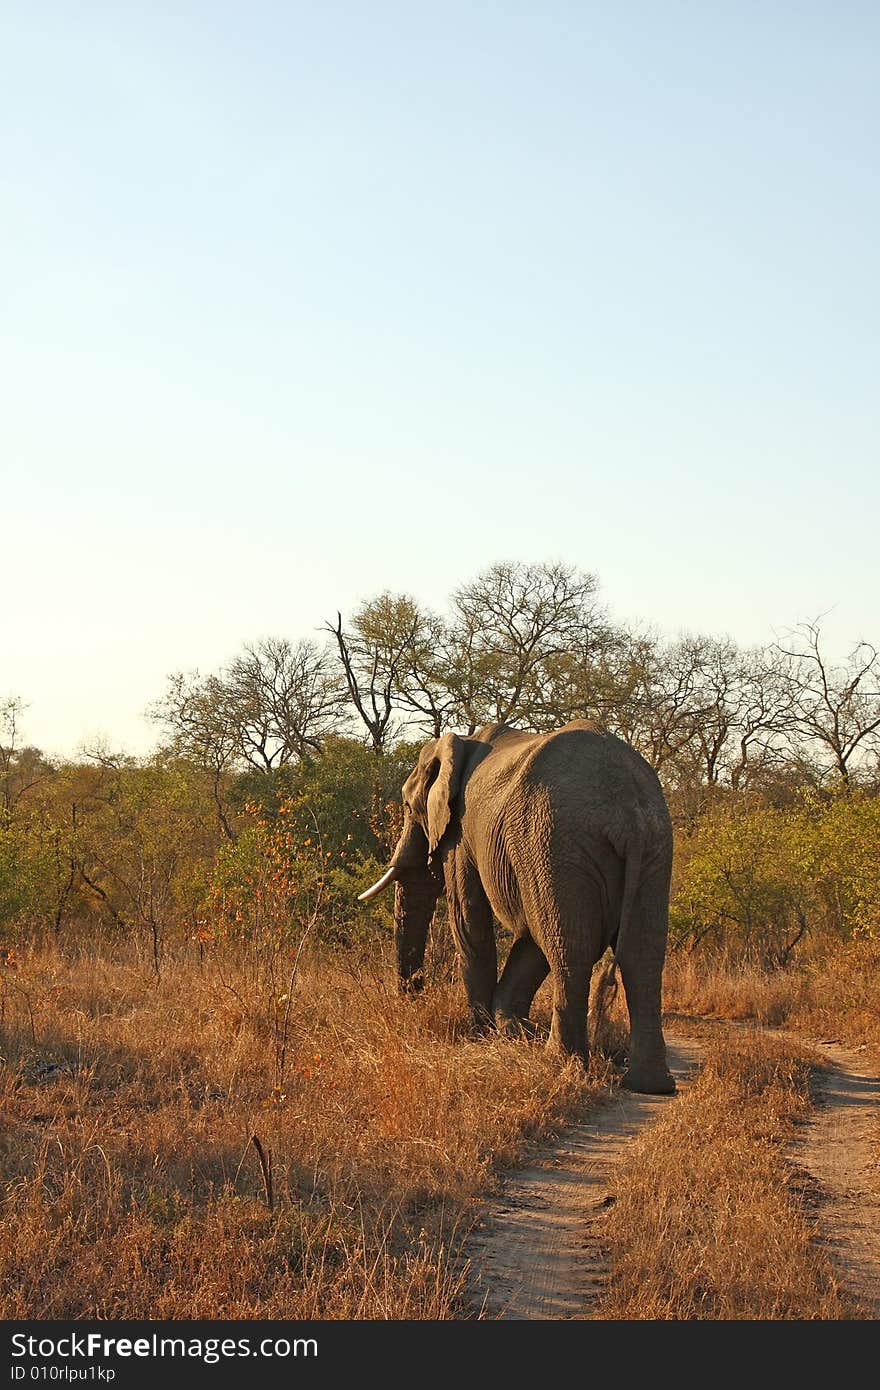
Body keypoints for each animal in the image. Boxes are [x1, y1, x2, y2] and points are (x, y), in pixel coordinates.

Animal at [361, 717, 675, 1095]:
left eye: (409, 807)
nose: (413, 998)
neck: (458, 743)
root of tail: (628, 810)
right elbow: (530, 935)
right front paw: (512, 1031)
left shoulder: (461, 833)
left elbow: (470, 920)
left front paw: (482, 1035)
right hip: (652, 849)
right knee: (641, 954)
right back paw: (651, 1086)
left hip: (554, 843)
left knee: (568, 948)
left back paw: (560, 1063)